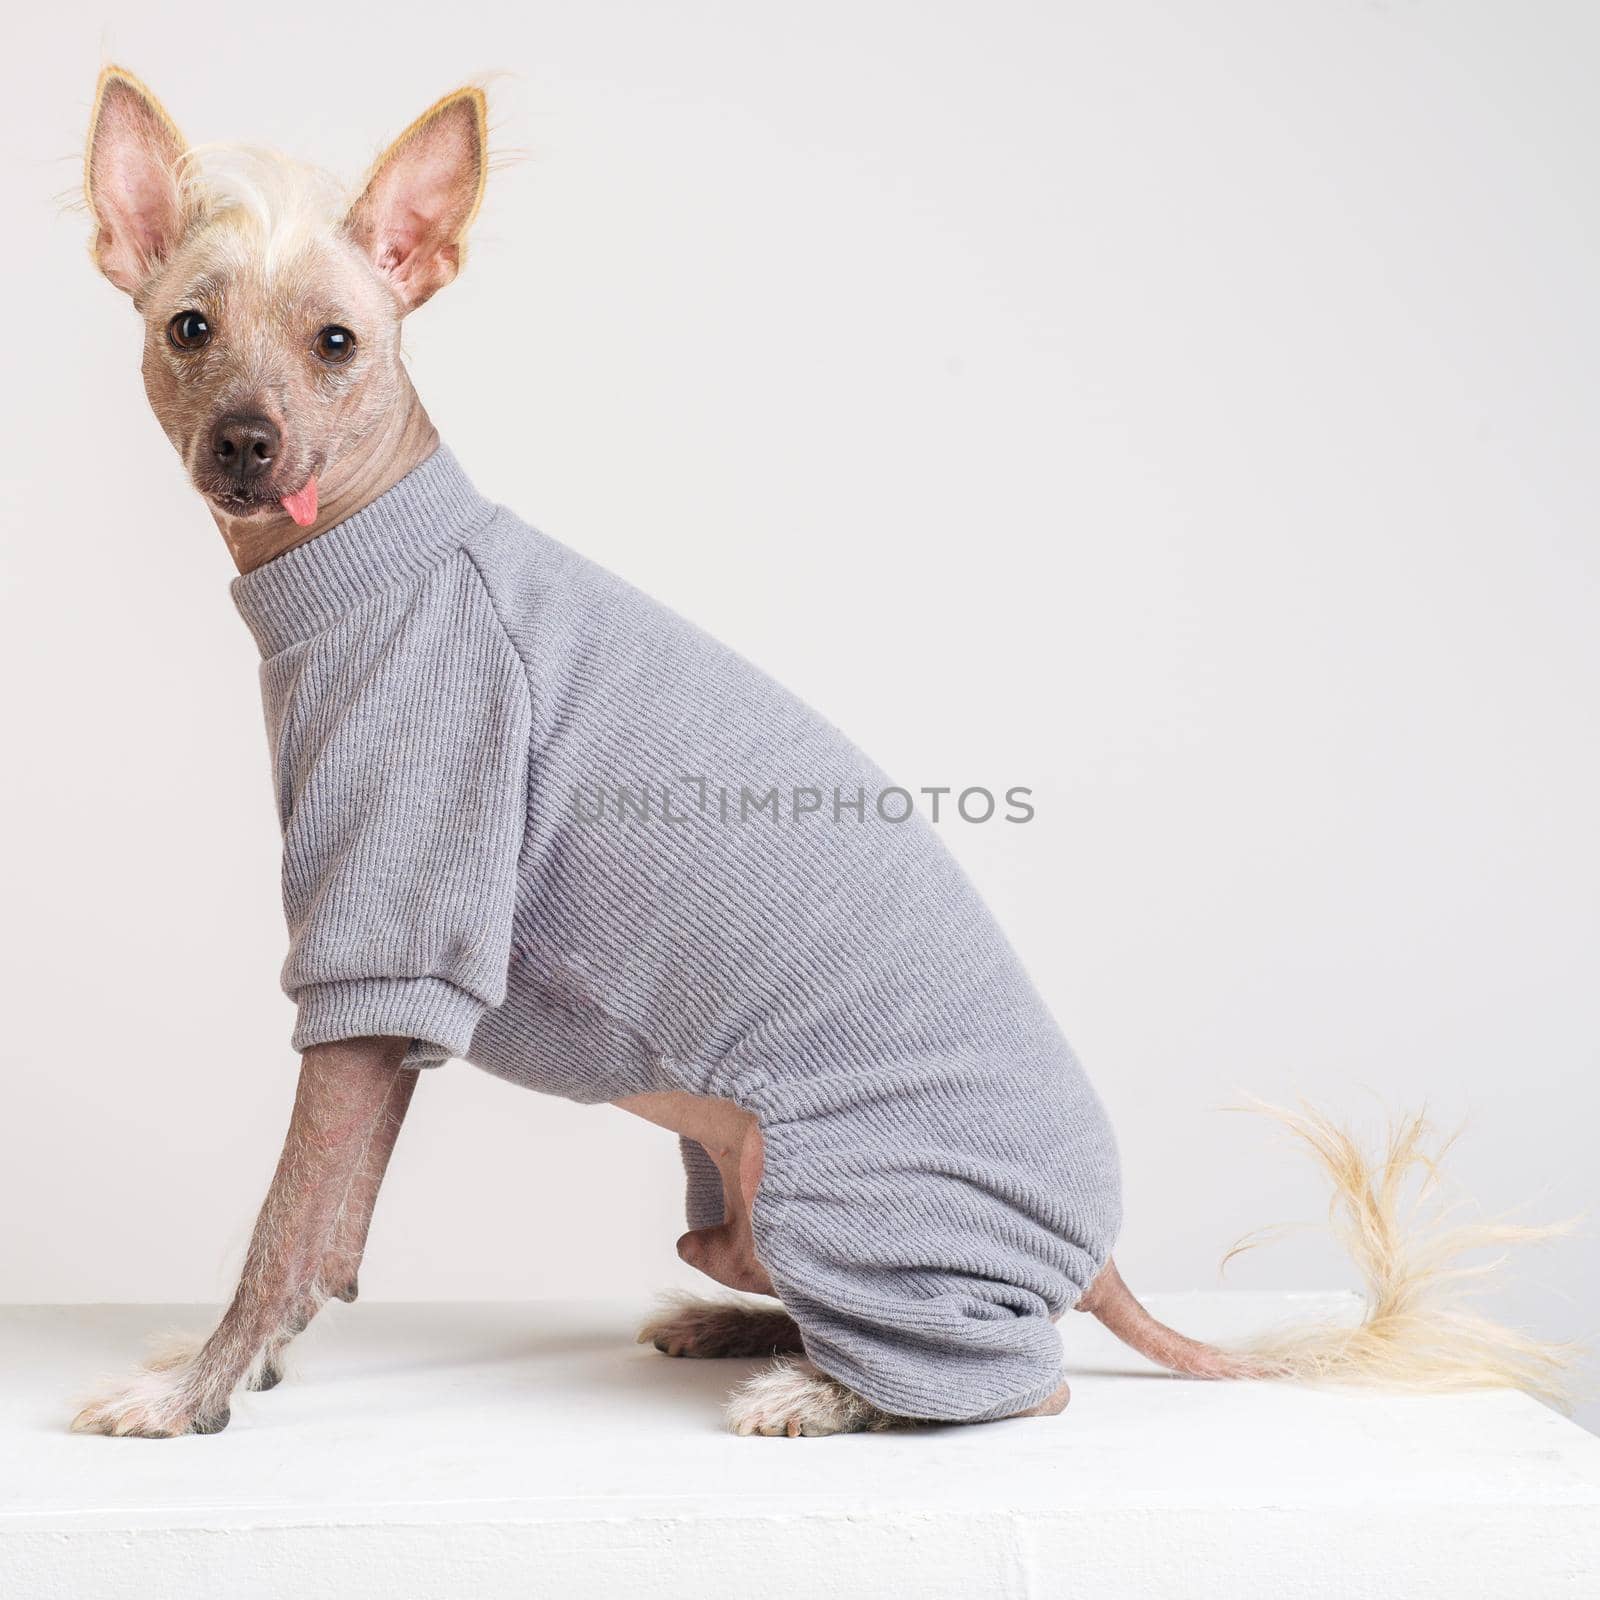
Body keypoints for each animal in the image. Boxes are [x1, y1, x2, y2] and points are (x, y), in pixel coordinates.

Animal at [68, 65, 1568, 1440]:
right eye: (191, 329)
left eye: (337, 341)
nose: (245, 443)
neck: (373, 557)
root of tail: (1097, 1256)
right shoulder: (386, 1006)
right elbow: (332, 1231)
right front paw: (243, 1373)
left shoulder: (388, 959)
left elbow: (289, 1221)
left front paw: (192, 1393)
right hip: (732, 1197)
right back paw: (745, 1331)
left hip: (838, 1202)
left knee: (1017, 1380)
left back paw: (825, 1390)